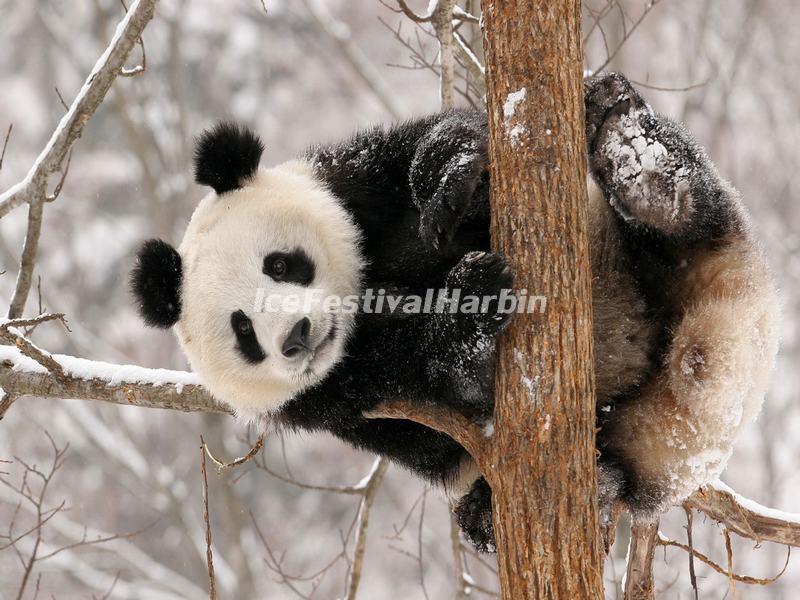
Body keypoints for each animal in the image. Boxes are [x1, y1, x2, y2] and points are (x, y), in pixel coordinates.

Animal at [131, 72, 779, 552]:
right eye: (243, 329)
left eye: (282, 264)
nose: (296, 335)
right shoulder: (334, 398)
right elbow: (434, 402)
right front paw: (473, 298)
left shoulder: (353, 187)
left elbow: (433, 151)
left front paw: (450, 180)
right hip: (631, 431)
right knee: (614, 472)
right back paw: (547, 499)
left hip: (676, 254)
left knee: (691, 216)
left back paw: (635, 154)